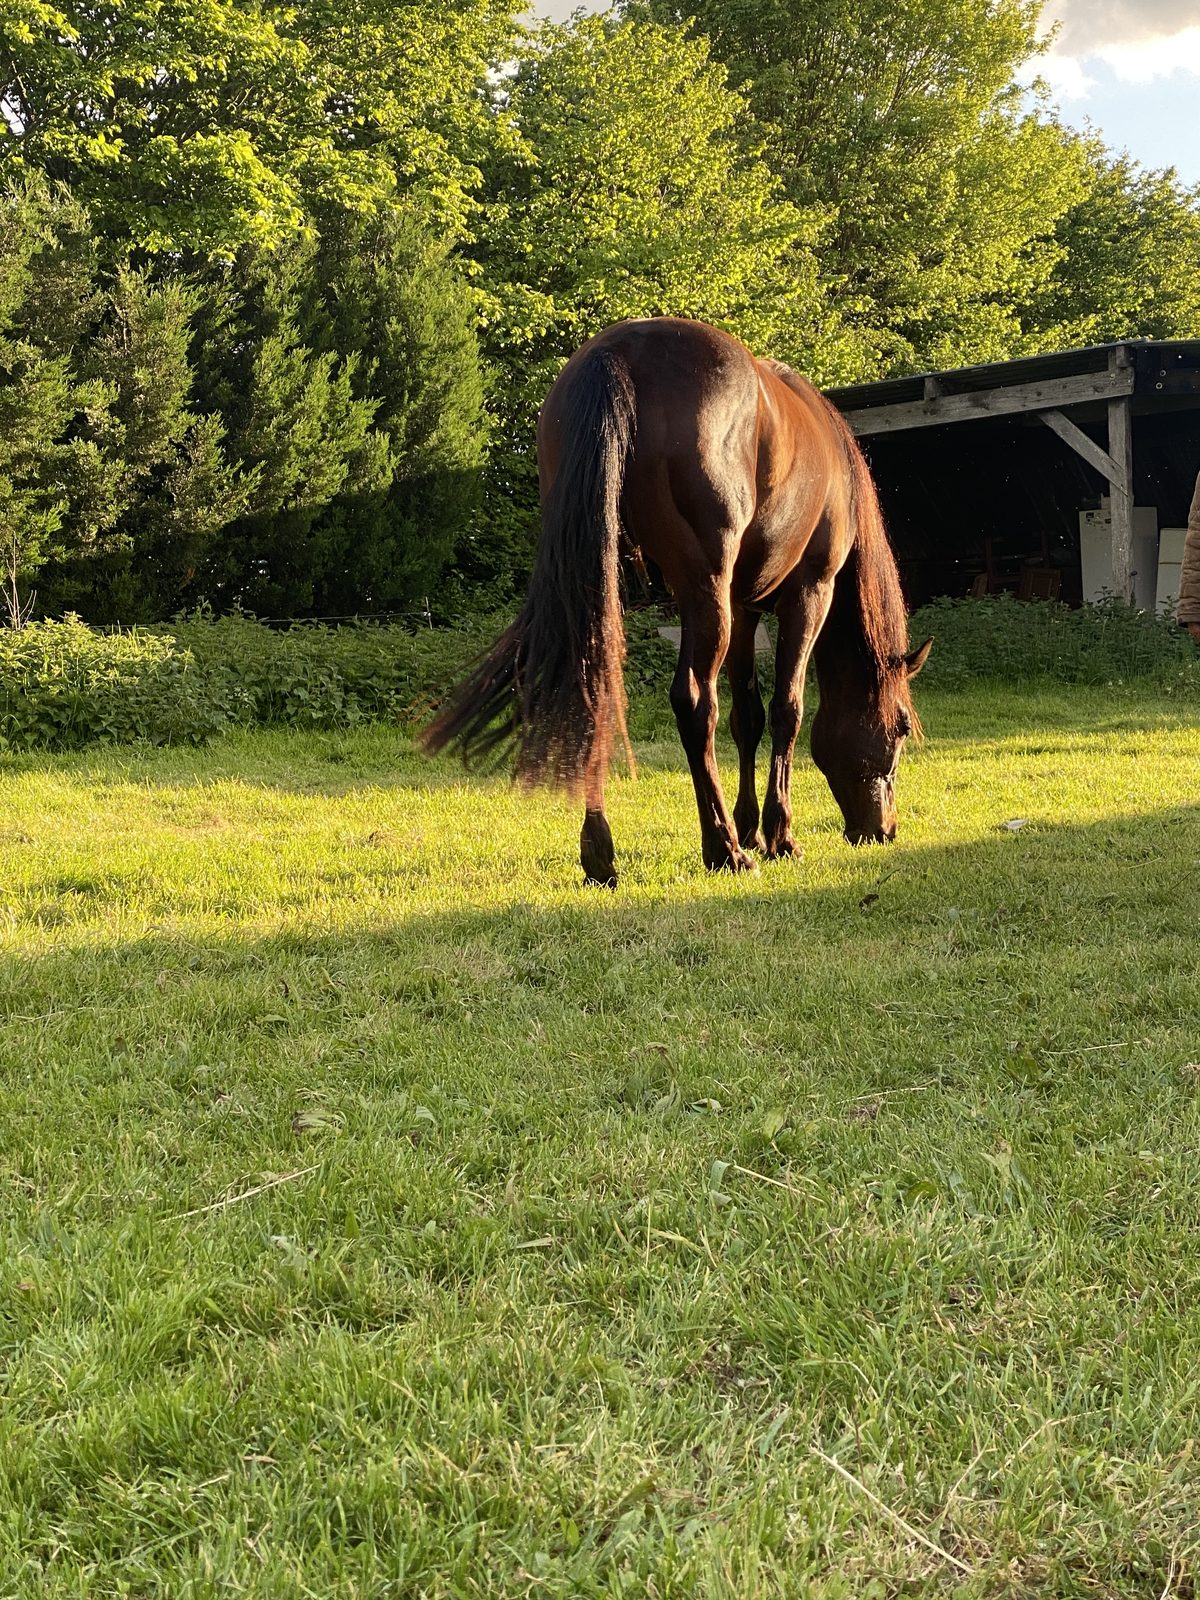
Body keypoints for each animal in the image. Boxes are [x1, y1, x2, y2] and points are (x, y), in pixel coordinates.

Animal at [424, 317, 931, 887]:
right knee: (695, 701)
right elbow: (787, 710)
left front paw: (750, 827)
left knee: (597, 687)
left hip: (609, 583)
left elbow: (748, 717)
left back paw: (602, 854)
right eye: (901, 727)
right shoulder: (808, 594)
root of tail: (618, 353)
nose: (883, 830)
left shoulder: (744, 607)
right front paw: (776, 836)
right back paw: (723, 849)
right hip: (703, 592)